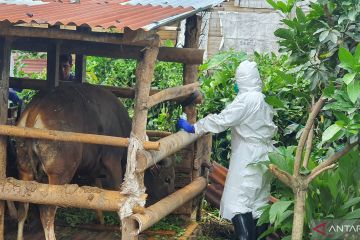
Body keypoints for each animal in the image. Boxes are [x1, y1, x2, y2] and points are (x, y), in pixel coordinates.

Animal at [14, 83, 175, 240]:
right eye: (167, 179)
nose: (171, 195)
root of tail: (36, 108)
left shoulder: (93, 171)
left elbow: (97, 193)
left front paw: (102, 221)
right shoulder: (112, 161)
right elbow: (117, 192)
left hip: (25, 171)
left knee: (22, 208)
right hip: (58, 176)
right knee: (47, 212)